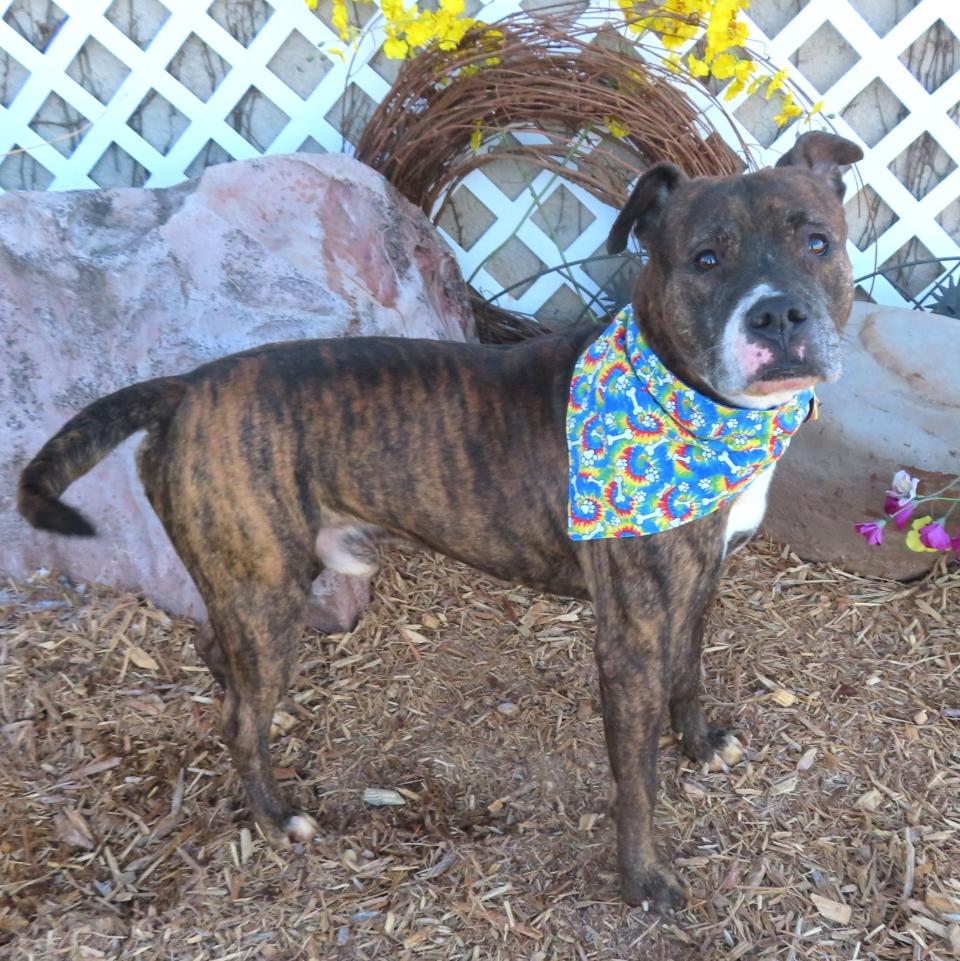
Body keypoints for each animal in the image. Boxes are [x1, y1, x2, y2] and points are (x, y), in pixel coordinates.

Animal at [20, 129, 864, 908]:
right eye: (705, 259)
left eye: (817, 242)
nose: (778, 314)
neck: (693, 402)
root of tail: (186, 387)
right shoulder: (629, 640)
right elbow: (637, 778)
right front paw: (643, 877)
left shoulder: (697, 584)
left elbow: (689, 671)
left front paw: (700, 742)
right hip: (266, 589)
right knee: (237, 720)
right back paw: (276, 814)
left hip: (254, 580)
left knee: (220, 656)